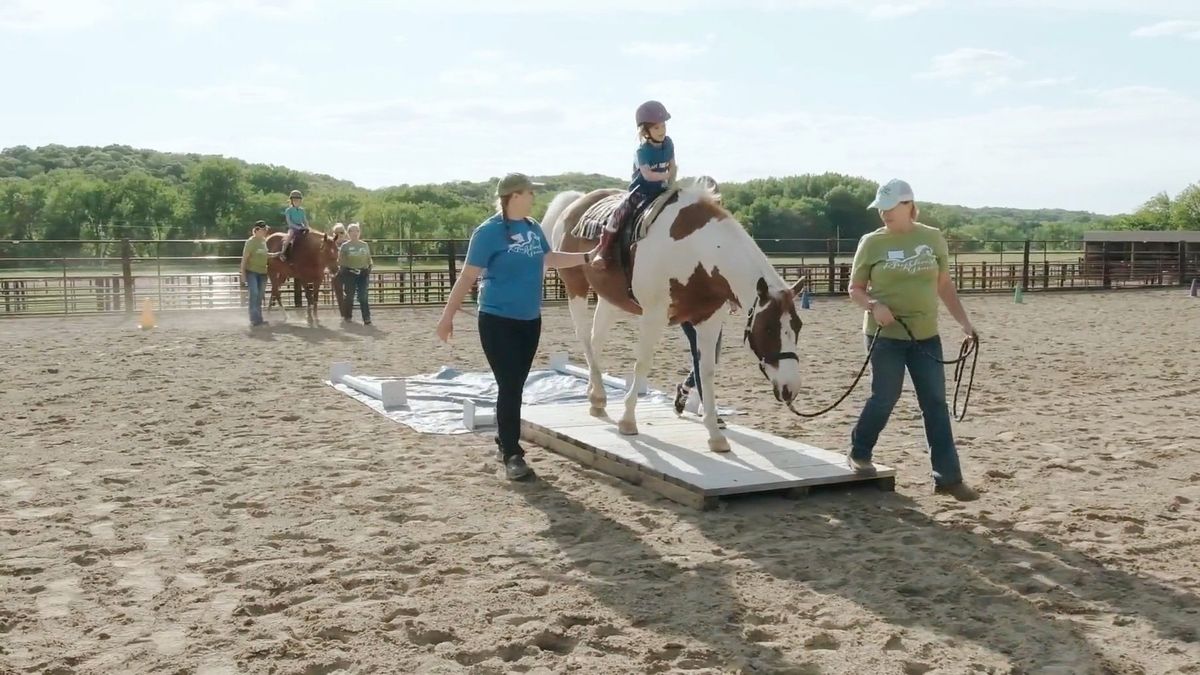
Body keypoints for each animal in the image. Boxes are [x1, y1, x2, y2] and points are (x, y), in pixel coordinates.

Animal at [547, 178, 806, 451]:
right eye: (768, 328)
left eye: (798, 326)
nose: (791, 387)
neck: (697, 250)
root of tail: (576, 202)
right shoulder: (653, 316)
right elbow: (642, 364)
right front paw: (628, 421)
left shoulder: (709, 320)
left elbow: (706, 371)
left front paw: (715, 433)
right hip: (575, 286)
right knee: (584, 336)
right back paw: (598, 395)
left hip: (609, 299)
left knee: (596, 340)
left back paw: (595, 398)